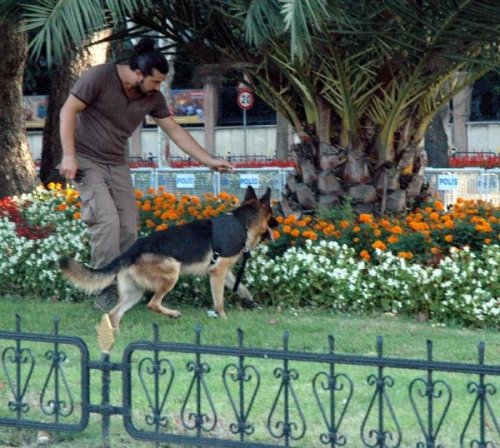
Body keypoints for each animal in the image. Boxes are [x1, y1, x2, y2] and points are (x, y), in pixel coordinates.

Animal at [61, 186, 278, 328]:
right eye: (272, 215)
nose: (278, 223)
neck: (242, 223)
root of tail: (133, 249)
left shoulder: (224, 272)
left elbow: (242, 287)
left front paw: (251, 301)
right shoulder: (218, 272)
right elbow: (219, 300)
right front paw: (223, 317)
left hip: (135, 291)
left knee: (114, 314)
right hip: (171, 273)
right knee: (152, 303)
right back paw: (172, 314)